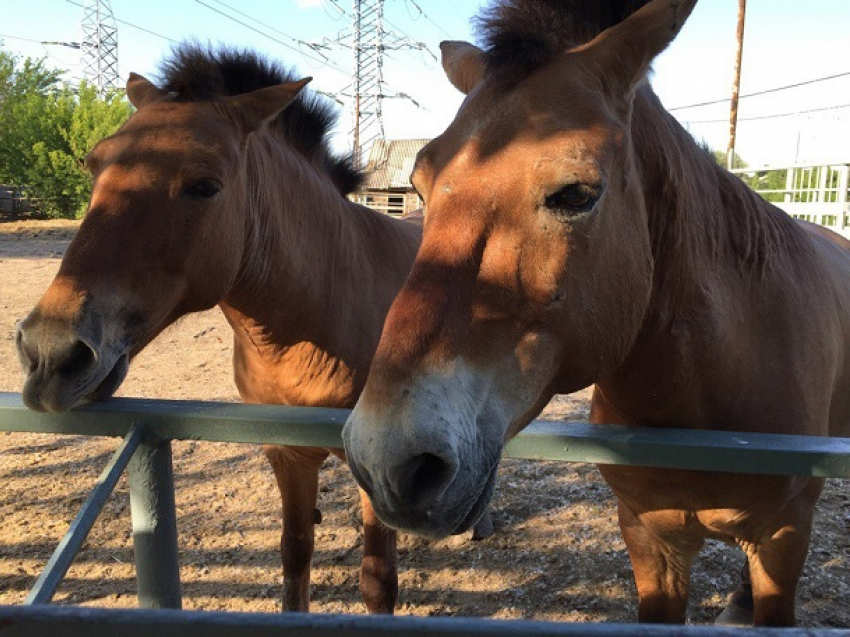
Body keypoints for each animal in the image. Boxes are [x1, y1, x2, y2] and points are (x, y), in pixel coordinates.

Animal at [14, 47, 444, 612]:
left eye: (205, 186)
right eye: (94, 165)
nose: (50, 352)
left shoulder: (376, 471)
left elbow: (377, 580)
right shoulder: (287, 454)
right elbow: (295, 554)